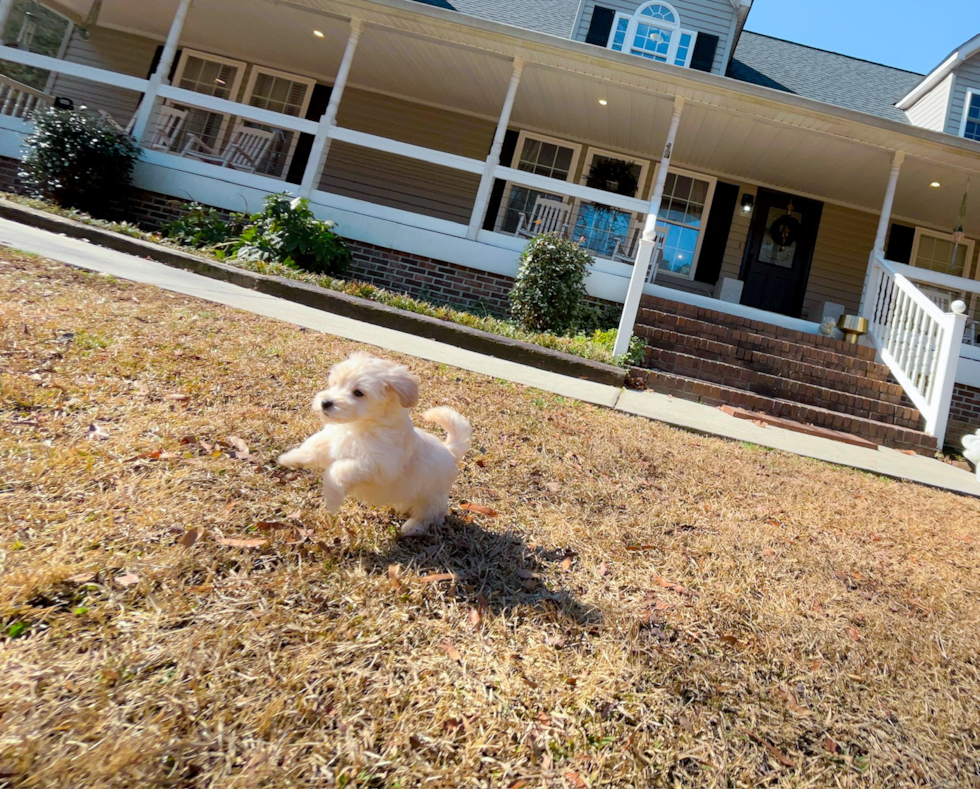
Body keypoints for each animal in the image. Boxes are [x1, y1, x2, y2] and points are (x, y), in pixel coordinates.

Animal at [278, 352, 472, 532]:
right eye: (335, 383)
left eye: (358, 393)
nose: (325, 402)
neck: (360, 425)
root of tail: (450, 450)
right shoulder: (332, 440)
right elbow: (313, 446)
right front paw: (290, 457)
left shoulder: (377, 464)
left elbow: (339, 471)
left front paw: (331, 500)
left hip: (430, 495)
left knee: (432, 514)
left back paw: (413, 527)